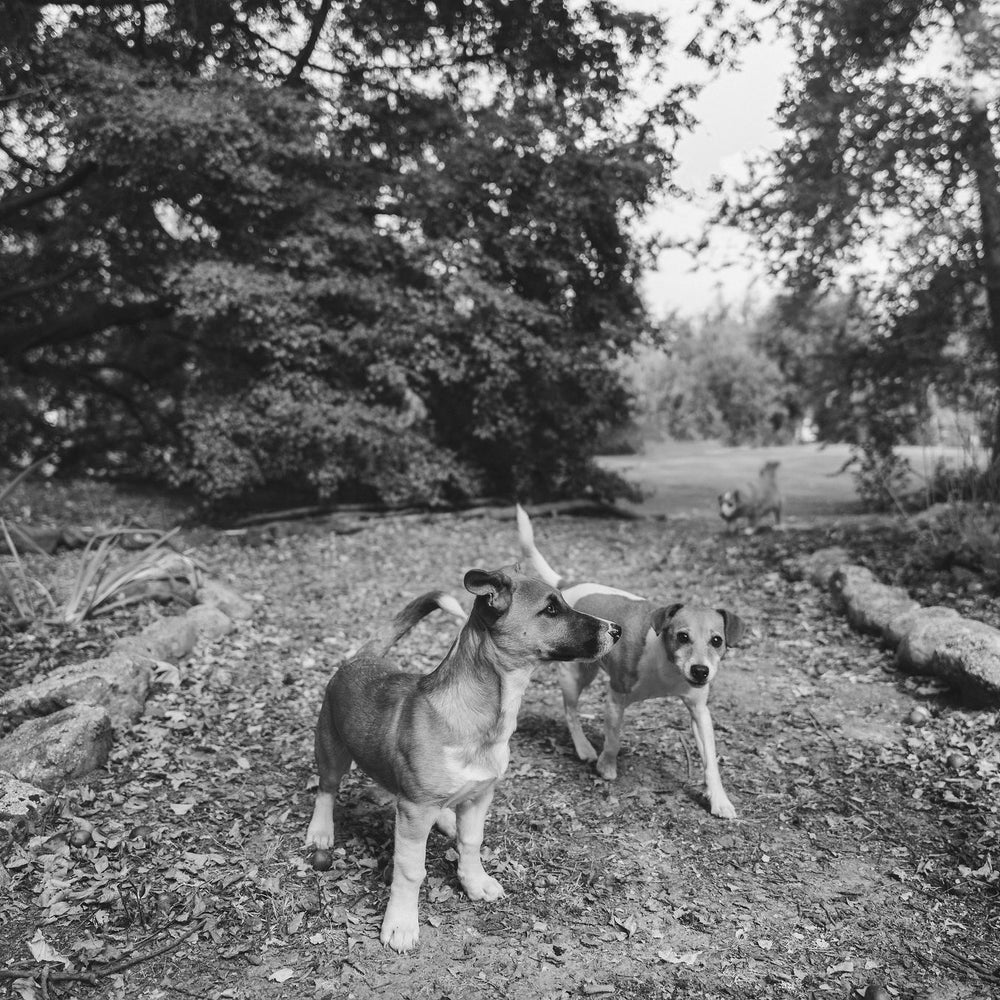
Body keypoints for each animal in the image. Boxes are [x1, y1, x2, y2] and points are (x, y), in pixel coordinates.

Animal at [306, 572, 616, 952]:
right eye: (551, 609)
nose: (616, 630)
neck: (481, 717)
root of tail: (360, 658)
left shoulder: (479, 796)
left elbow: (471, 843)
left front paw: (474, 882)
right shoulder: (414, 811)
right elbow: (411, 870)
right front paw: (401, 922)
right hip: (331, 750)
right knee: (326, 789)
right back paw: (321, 830)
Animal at [516, 508, 744, 820]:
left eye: (717, 640)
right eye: (682, 636)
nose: (700, 671)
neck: (666, 665)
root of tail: (568, 586)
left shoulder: (699, 711)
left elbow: (710, 760)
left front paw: (719, 799)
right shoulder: (615, 698)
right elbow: (613, 740)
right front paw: (606, 767)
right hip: (574, 677)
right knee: (570, 711)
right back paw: (584, 747)